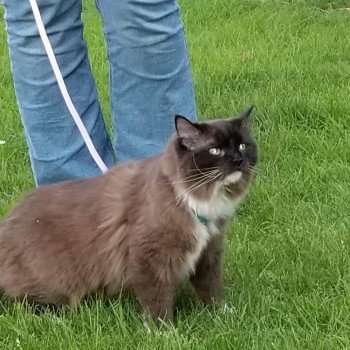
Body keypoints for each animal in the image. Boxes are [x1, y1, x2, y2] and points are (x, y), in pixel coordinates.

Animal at [0, 106, 258, 322]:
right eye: (215, 150)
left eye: (242, 146)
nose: (238, 160)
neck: (193, 200)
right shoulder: (149, 257)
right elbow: (157, 301)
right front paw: (165, 332)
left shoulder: (208, 252)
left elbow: (210, 289)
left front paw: (222, 313)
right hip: (53, 282)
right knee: (27, 302)